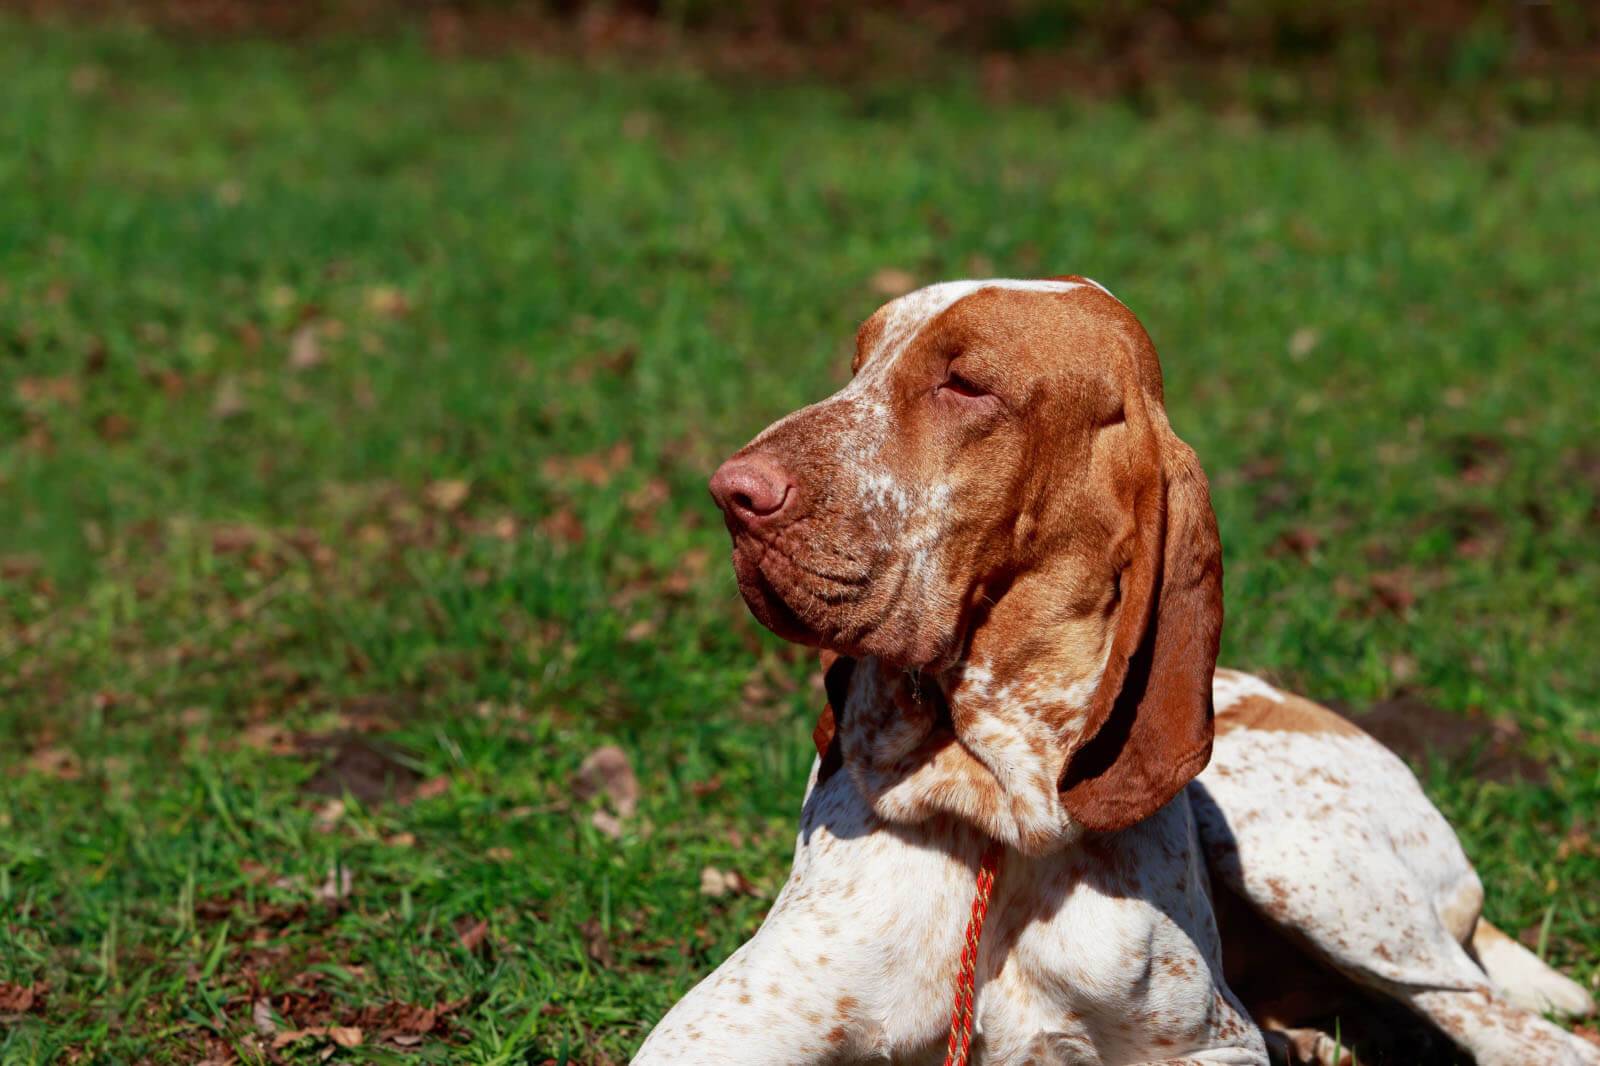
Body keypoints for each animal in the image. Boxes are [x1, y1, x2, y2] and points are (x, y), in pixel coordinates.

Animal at [630, 275, 1593, 1062]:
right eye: (859, 366)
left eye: (965, 384)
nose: (732, 494)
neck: (996, 807)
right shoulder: (715, 1032)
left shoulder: (1207, 1046)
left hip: (1326, 882)